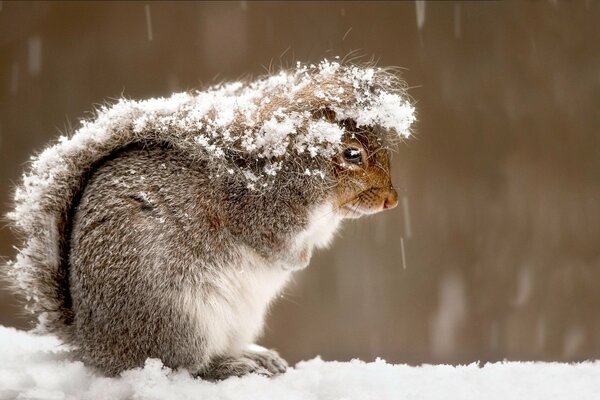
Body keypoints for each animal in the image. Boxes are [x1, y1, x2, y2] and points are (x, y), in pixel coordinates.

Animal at [3, 59, 418, 378]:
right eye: (352, 154)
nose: (392, 200)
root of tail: (94, 346)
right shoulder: (256, 212)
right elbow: (272, 244)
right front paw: (296, 261)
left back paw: (253, 356)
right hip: (177, 317)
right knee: (186, 365)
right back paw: (231, 366)